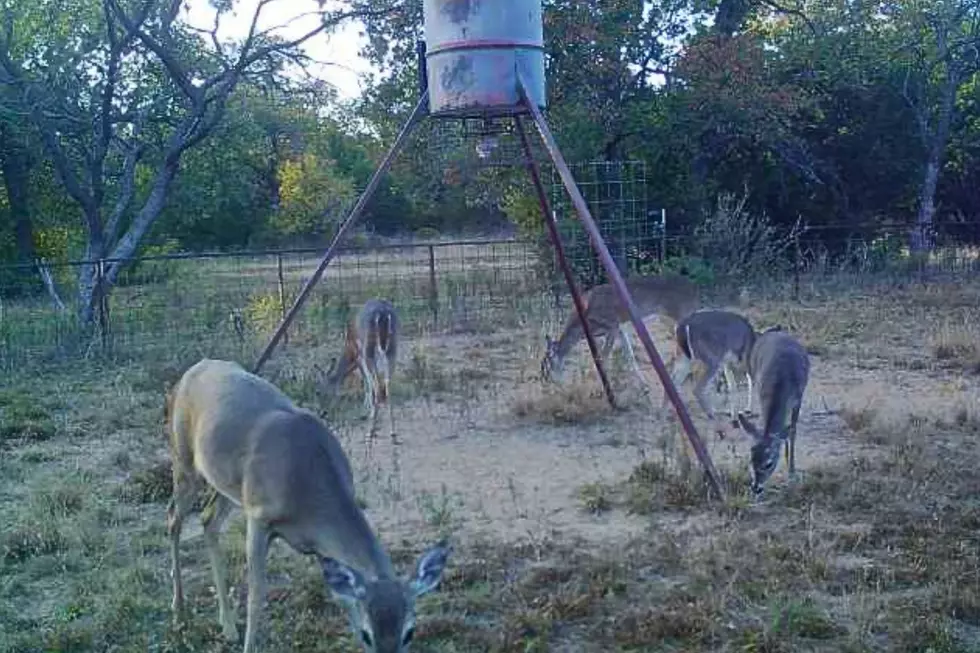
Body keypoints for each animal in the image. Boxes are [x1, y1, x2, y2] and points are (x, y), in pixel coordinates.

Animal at [165, 358, 451, 653]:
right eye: (367, 634)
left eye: (409, 632)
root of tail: (193, 370)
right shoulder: (259, 516)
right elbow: (256, 596)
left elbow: (342, 596)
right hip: (184, 461)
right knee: (173, 517)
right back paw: (179, 609)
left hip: (227, 485)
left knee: (208, 519)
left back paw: (228, 625)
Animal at [321, 299, 400, 442]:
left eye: (319, 392)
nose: (323, 412)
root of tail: (383, 313)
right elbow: (368, 381)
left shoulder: (359, 355)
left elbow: (367, 381)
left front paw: (367, 407)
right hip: (393, 345)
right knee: (387, 383)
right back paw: (393, 433)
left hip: (369, 347)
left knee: (377, 384)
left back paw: (371, 431)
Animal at [540, 272, 701, 386]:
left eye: (548, 363)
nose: (546, 381)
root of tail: (695, 289)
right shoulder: (621, 330)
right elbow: (629, 356)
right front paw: (643, 384)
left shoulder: (613, 325)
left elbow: (603, 358)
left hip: (681, 317)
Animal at [734, 327, 811, 496]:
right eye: (751, 459)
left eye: (769, 463)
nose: (756, 487)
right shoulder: (762, 394)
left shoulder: (798, 398)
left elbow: (792, 432)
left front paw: (792, 471)